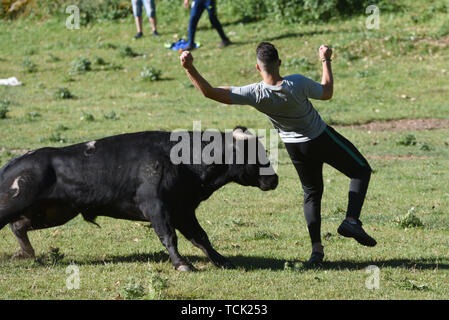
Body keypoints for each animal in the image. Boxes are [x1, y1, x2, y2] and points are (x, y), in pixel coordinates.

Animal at [0, 127, 278, 270]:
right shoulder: (157, 207)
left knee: (19, 226)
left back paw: (25, 253)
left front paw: (221, 260)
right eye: (252, 153)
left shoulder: (184, 210)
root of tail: (15, 162)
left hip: (53, 213)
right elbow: (170, 237)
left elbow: (201, 237)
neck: (182, 159)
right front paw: (182, 264)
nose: (273, 179)